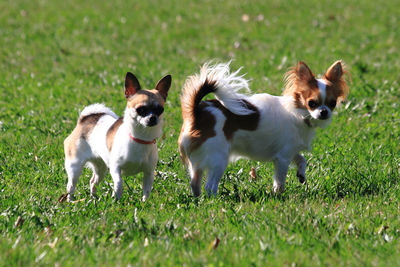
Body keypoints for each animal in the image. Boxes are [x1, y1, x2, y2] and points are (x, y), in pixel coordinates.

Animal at [63, 72, 170, 202]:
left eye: (160, 110)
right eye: (141, 109)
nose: (153, 118)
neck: (140, 138)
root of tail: (85, 119)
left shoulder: (149, 173)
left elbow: (147, 191)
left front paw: (145, 203)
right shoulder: (115, 168)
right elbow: (119, 183)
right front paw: (116, 198)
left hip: (101, 168)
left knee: (93, 181)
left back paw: (93, 198)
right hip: (75, 167)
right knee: (71, 186)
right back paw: (71, 200)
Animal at [178, 61, 346, 198]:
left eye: (332, 103)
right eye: (312, 103)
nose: (324, 112)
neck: (298, 112)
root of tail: (197, 113)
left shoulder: (290, 150)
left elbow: (301, 159)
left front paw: (301, 175)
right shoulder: (282, 158)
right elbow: (280, 180)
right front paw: (279, 194)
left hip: (198, 162)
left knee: (195, 182)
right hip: (218, 158)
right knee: (209, 186)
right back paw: (214, 200)